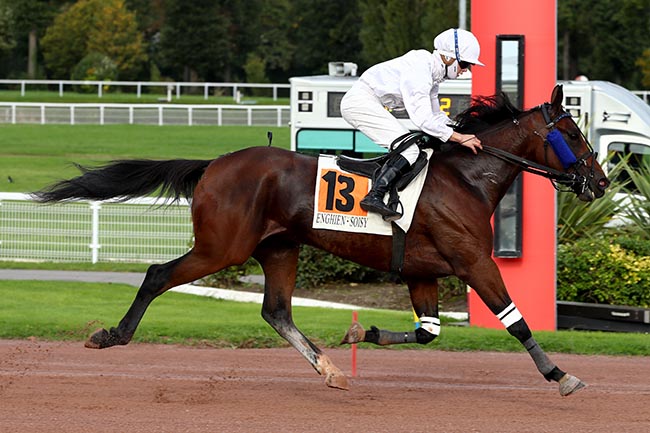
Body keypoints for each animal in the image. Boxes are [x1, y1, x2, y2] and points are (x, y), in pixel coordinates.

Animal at [33, 84, 604, 394]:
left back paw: (331, 369)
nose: (598, 183)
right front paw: (560, 374)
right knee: (157, 275)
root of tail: (214, 164)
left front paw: (358, 333)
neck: (466, 179)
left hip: (279, 247)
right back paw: (112, 335)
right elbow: (515, 321)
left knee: (277, 311)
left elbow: (427, 332)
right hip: (222, 247)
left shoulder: (422, 271)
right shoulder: (472, 262)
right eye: (573, 134)